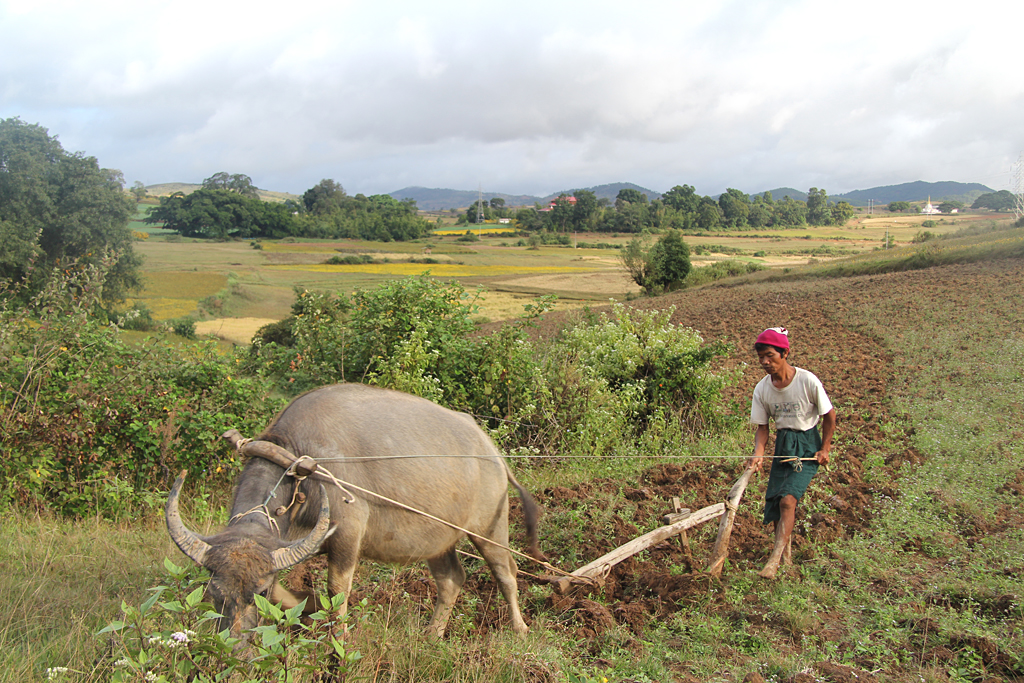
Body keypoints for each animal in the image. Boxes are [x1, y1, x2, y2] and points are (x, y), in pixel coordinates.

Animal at [163, 385, 540, 643]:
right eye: (215, 595)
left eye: (259, 593)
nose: (235, 645)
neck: (300, 464)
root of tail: (492, 451)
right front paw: (306, 604)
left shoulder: (347, 535)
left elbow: (337, 590)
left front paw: (338, 637)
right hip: (438, 538)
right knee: (451, 579)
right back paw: (432, 634)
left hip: (490, 528)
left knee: (507, 573)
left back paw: (520, 629)